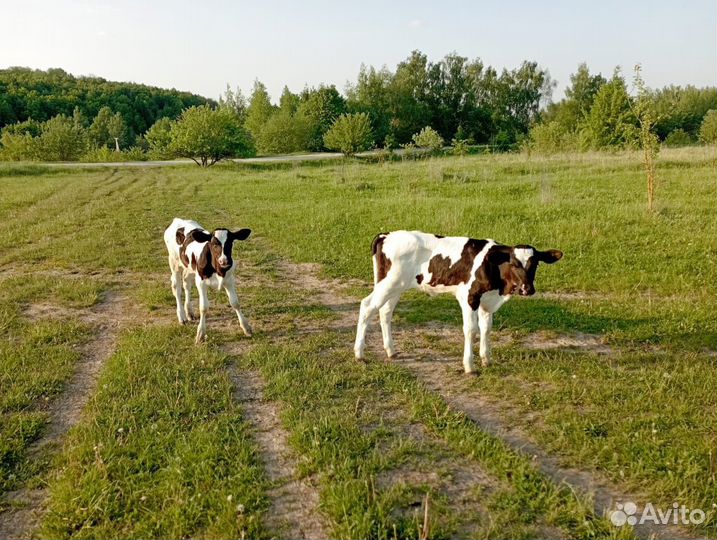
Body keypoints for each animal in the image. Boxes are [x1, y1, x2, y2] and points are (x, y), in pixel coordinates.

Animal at [354, 231, 563, 373]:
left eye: (535, 264)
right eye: (514, 263)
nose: (527, 289)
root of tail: (386, 234)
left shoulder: (487, 301)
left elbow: (486, 329)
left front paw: (487, 360)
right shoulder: (469, 297)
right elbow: (471, 330)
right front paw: (469, 366)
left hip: (397, 286)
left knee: (385, 311)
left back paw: (391, 351)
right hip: (389, 283)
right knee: (367, 306)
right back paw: (359, 354)